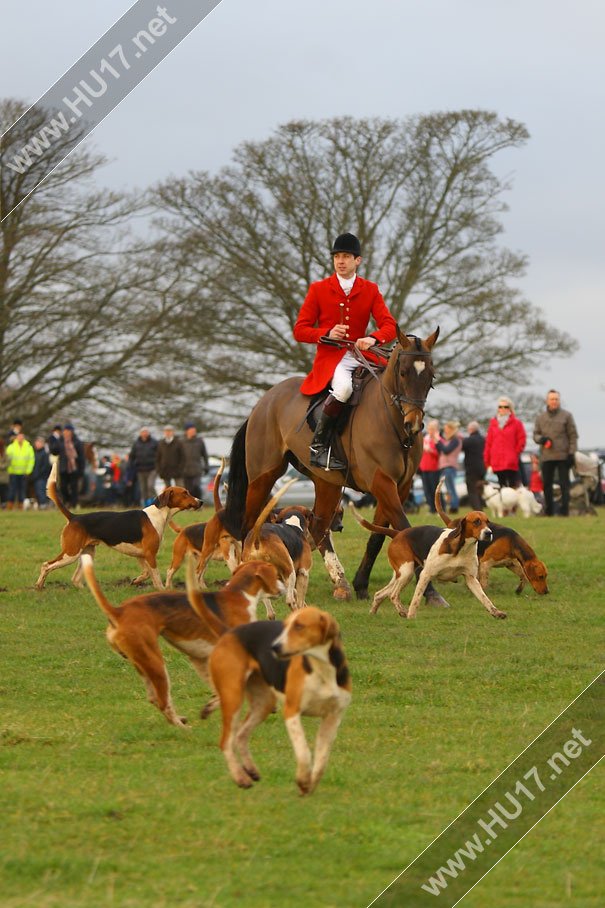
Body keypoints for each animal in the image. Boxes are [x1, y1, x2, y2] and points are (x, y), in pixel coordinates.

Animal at [224, 328, 442, 604]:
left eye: (430, 375)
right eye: (403, 373)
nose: (413, 424)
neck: (391, 422)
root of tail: (263, 402)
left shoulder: (399, 487)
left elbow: (377, 535)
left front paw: (361, 584)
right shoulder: (381, 482)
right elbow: (404, 528)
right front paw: (430, 591)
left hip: (326, 481)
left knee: (319, 529)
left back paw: (341, 583)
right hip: (263, 476)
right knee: (249, 523)